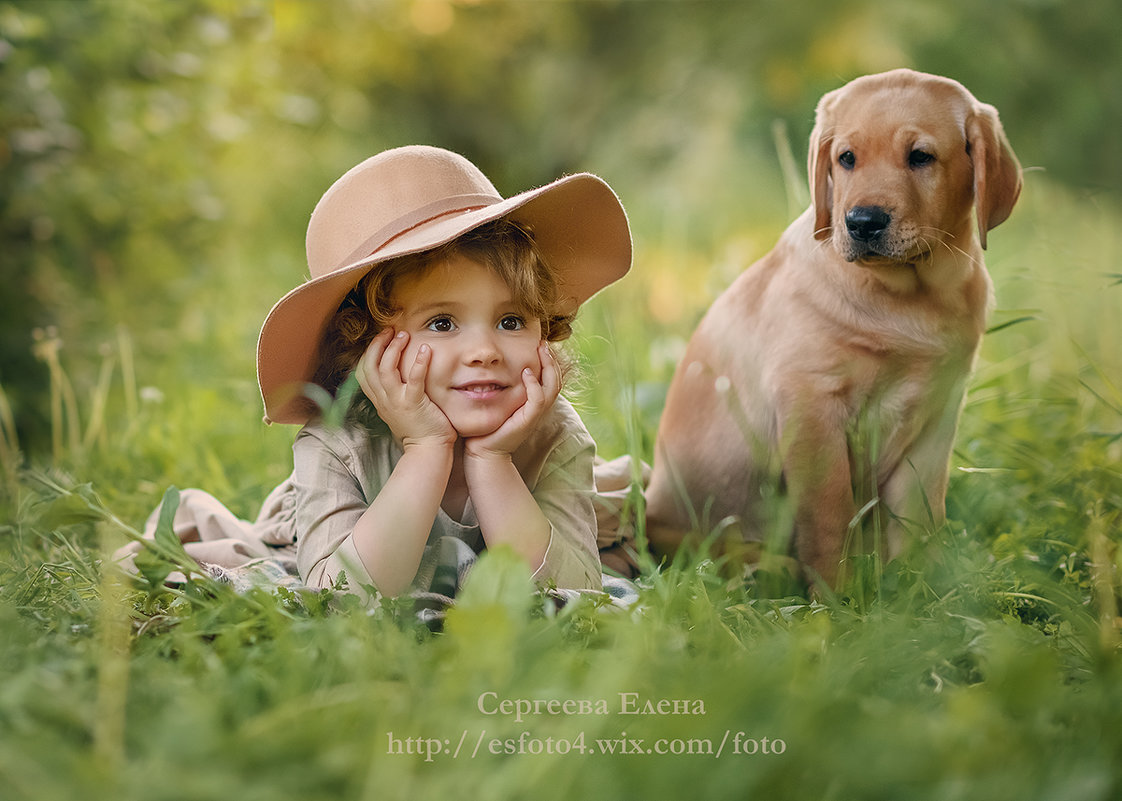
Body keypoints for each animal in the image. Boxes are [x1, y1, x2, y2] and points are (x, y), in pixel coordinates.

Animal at [646, 70, 1023, 587]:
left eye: (920, 157)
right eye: (846, 158)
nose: (862, 222)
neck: (907, 295)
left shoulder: (936, 415)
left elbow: (918, 515)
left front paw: (918, 591)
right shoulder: (812, 406)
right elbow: (829, 513)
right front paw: (842, 596)